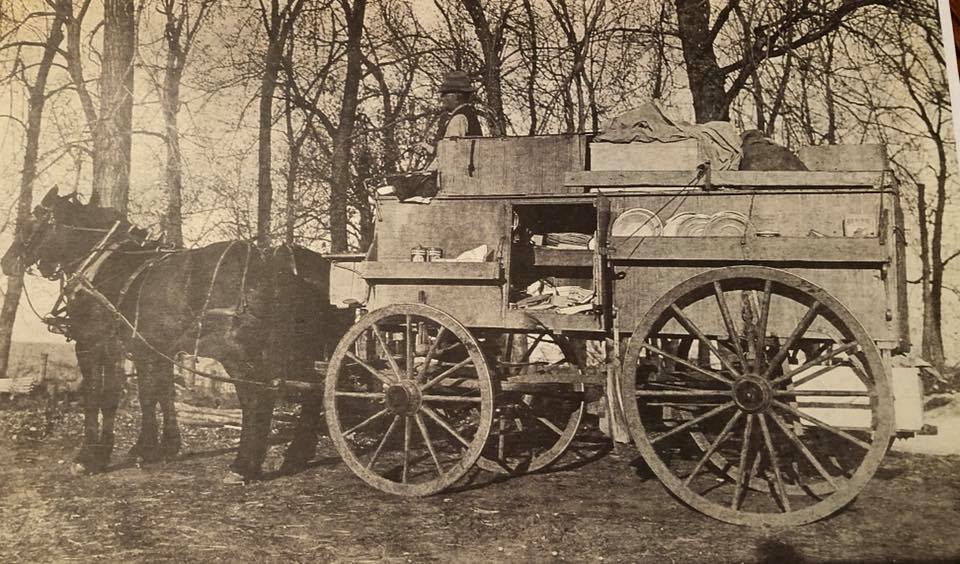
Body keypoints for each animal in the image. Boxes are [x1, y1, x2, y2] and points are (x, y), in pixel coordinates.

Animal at [0, 187, 352, 478]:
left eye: (31, 223)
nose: (7, 262)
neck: (104, 266)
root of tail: (272, 266)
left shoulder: (95, 345)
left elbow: (101, 397)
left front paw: (91, 457)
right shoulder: (151, 348)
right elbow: (156, 394)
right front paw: (155, 448)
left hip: (239, 352)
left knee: (257, 398)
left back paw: (243, 465)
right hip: (299, 351)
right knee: (313, 390)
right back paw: (294, 455)